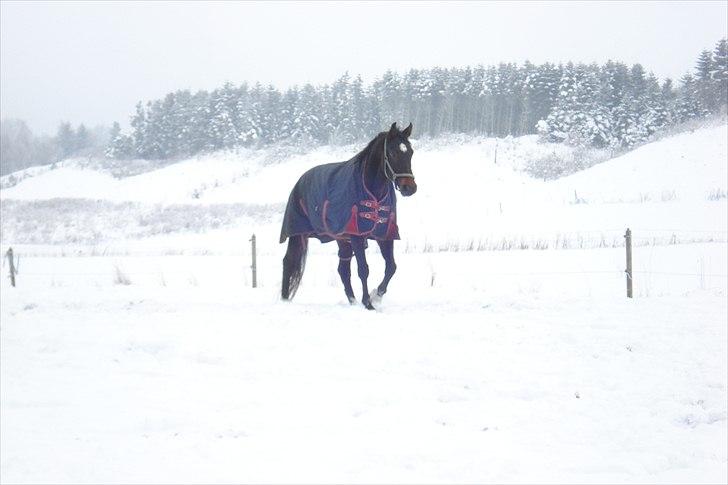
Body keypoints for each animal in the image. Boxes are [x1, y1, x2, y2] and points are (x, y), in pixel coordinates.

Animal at [278, 122, 416, 310]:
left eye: (410, 152)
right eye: (393, 153)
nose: (410, 188)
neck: (372, 190)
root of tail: (301, 180)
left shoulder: (385, 235)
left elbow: (391, 267)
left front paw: (376, 295)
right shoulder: (356, 235)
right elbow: (363, 269)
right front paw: (368, 302)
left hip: (342, 240)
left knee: (343, 269)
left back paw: (352, 300)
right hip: (298, 234)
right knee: (289, 261)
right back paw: (284, 299)